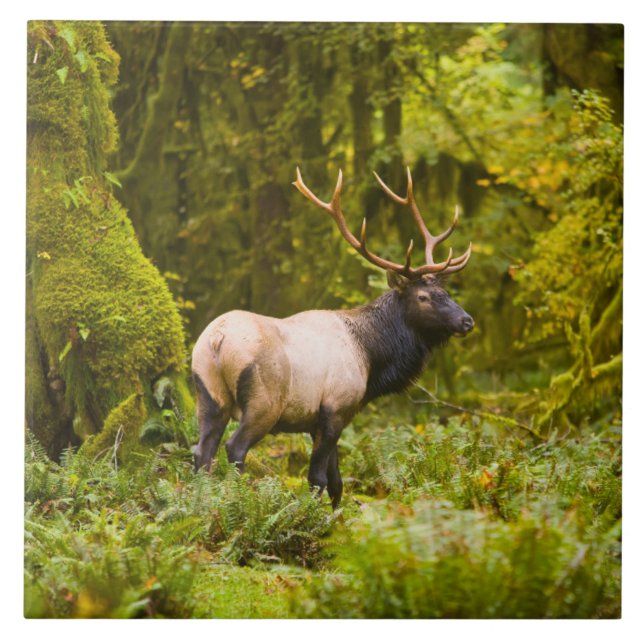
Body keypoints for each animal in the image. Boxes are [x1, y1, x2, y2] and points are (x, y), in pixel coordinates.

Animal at [192, 167, 474, 508]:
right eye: (423, 296)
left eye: (445, 292)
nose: (467, 320)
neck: (371, 358)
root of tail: (217, 339)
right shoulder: (336, 408)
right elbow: (318, 479)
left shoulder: (322, 420)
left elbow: (337, 481)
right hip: (264, 400)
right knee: (234, 447)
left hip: (208, 392)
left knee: (200, 453)